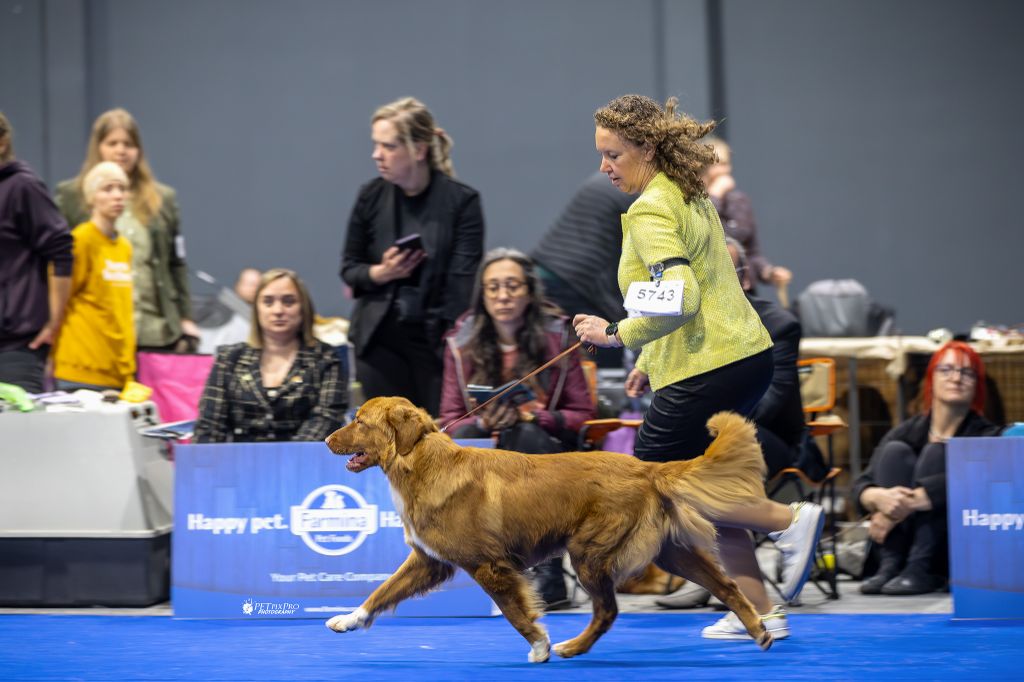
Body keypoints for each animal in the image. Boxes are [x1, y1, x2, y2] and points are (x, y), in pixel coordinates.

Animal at [323, 393, 770, 659]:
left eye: (360, 421)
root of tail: (648, 468)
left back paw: (572, 647)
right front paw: (347, 620)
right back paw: (760, 630)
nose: (326, 440)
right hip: (668, 552)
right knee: (726, 585)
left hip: (589, 553)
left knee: (608, 610)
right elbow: (381, 591)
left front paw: (540, 645)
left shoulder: (489, 566)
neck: (421, 462)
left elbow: (515, 613)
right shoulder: (429, 561)